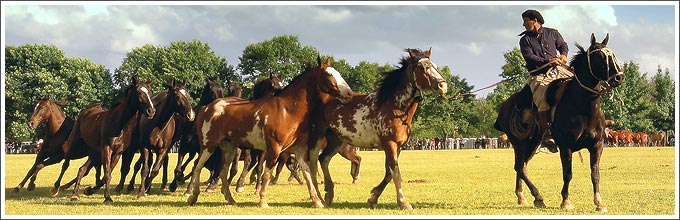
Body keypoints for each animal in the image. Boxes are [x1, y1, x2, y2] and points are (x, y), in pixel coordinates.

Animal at [61, 75, 156, 203]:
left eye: (150, 92)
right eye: (139, 92)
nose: (151, 111)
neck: (120, 125)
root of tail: (87, 111)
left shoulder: (117, 153)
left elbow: (107, 174)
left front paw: (89, 190)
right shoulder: (107, 149)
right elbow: (107, 174)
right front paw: (107, 197)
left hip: (94, 153)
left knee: (82, 169)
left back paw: (75, 194)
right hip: (74, 143)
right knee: (65, 164)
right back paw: (57, 188)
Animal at [189, 56, 354, 208]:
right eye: (328, 75)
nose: (349, 94)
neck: (287, 111)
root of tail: (207, 107)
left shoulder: (299, 150)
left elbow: (306, 173)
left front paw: (317, 201)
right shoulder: (274, 149)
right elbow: (267, 174)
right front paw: (263, 201)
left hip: (229, 148)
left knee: (223, 172)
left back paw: (230, 200)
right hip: (208, 146)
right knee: (197, 166)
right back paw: (192, 196)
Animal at [310, 48, 448, 210]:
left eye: (434, 66)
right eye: (422, 67)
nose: (443, 86)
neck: (394, 107)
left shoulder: (398, 146)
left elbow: (389, 172)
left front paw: (373, 197)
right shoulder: (389, 144)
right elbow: (395, 172)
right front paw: (403, 202)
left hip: (337, 141)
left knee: (324, 159)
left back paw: (329, 193)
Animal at [492, 33, 624, 212]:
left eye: (613, 54)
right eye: (600, 57)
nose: (619, 77)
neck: (583, 106)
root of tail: (505, 106)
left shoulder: (597, 145)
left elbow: (595, 174)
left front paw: (599, 203)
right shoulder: (565, 146)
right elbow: (567, 173)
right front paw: (566, 202)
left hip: (532, 144)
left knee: (521, 166)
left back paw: (523, 197)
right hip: (518, 143)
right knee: (520, 167)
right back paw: (537, 196)